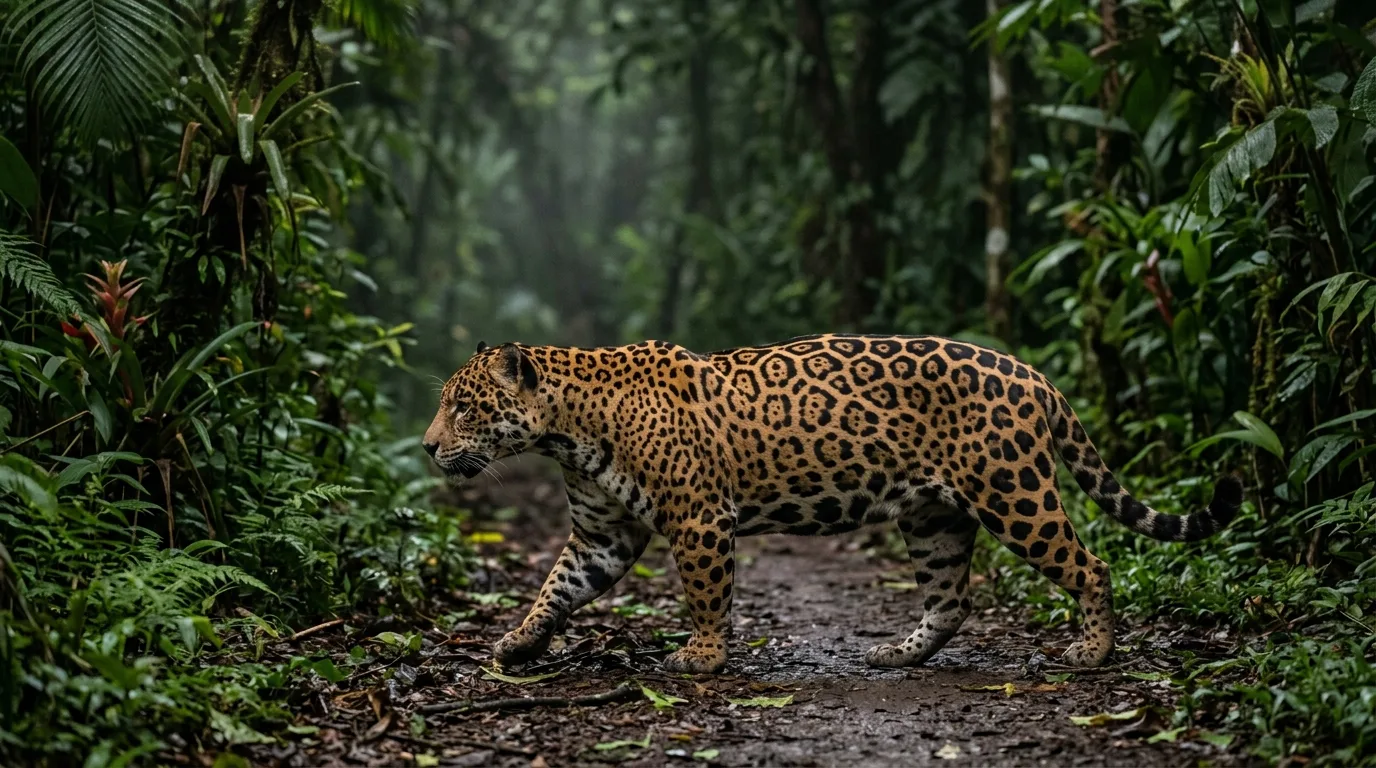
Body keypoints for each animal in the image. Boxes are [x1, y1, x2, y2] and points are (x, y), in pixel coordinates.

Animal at [422, 335, 1242, 675]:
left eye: (464, 407)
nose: (429, 447)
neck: (566, 430)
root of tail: (1033, 373)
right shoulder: (603, 534)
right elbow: (556, 589)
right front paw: (518, 644)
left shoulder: (698, 519)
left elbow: (706, 596)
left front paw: (704, 657)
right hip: (934, 515)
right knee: (951, 598)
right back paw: (896, 653)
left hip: (1014, 493)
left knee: (1092, 566)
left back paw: (1094, 652)